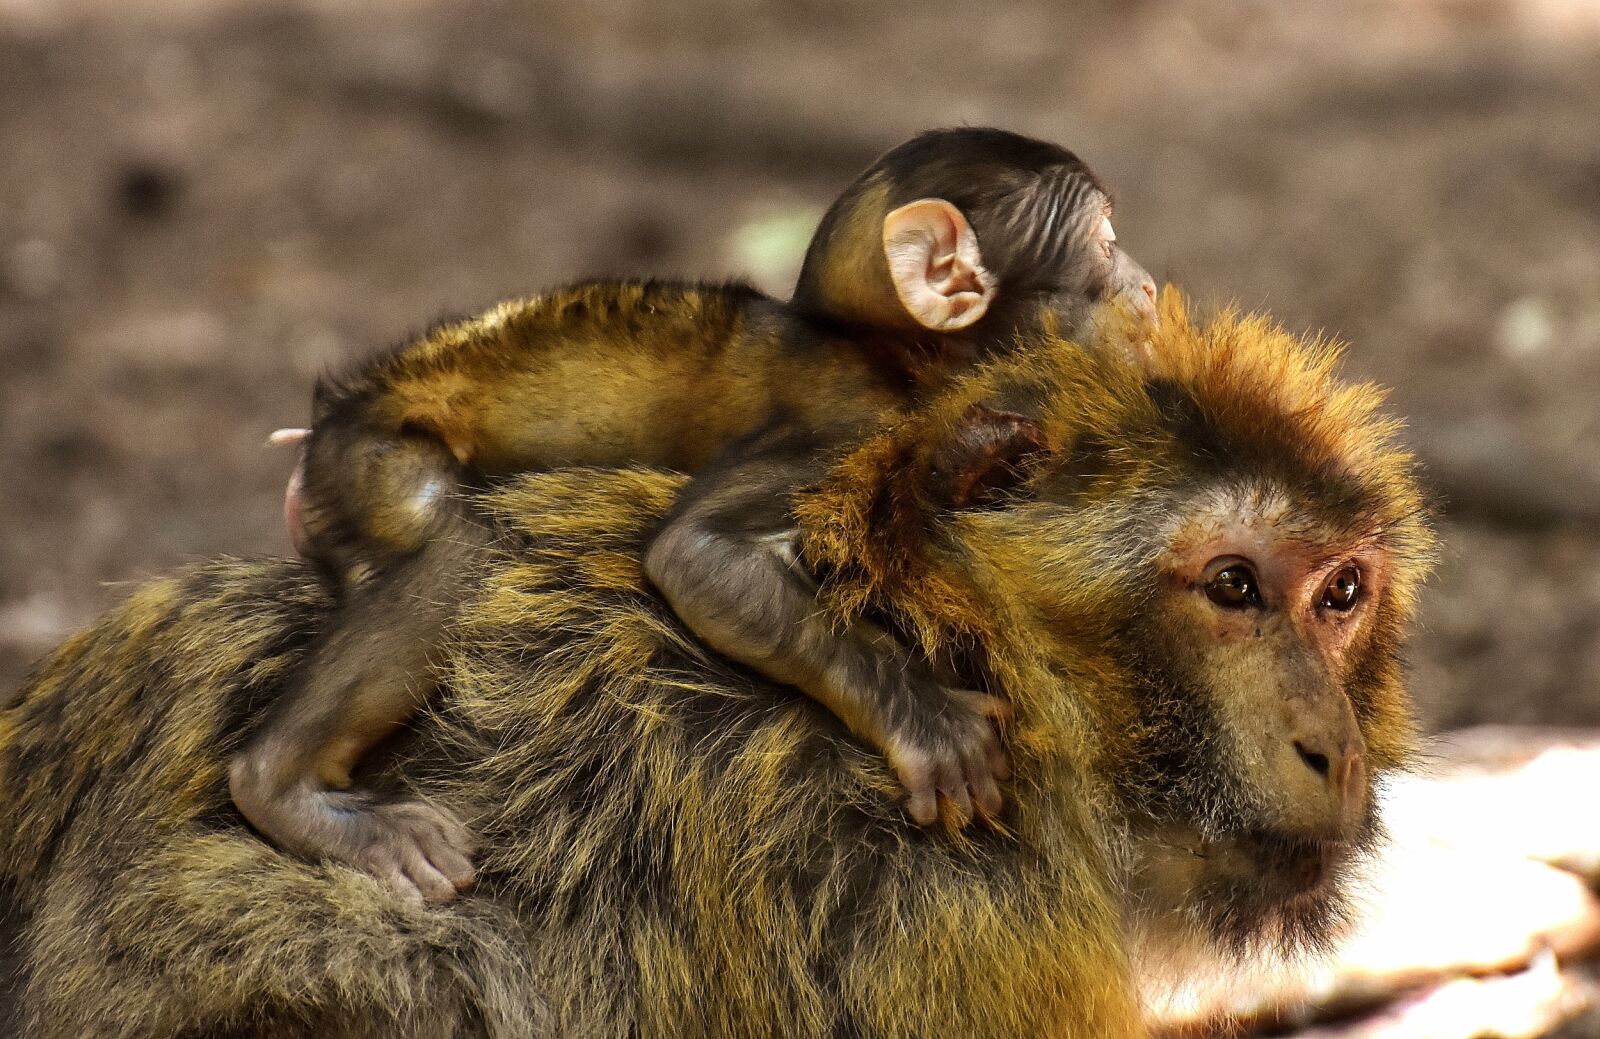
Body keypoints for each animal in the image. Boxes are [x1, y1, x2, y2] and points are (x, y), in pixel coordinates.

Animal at [232, 126, 1162, 904]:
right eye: (1105, 243)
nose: (1149, 287)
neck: (895, 358)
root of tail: (325, 427)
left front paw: (977, 457)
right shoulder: (846, 426)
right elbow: (694, 554)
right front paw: (925, 716)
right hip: (367, 457)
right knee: (455, 540)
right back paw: (282, 788)